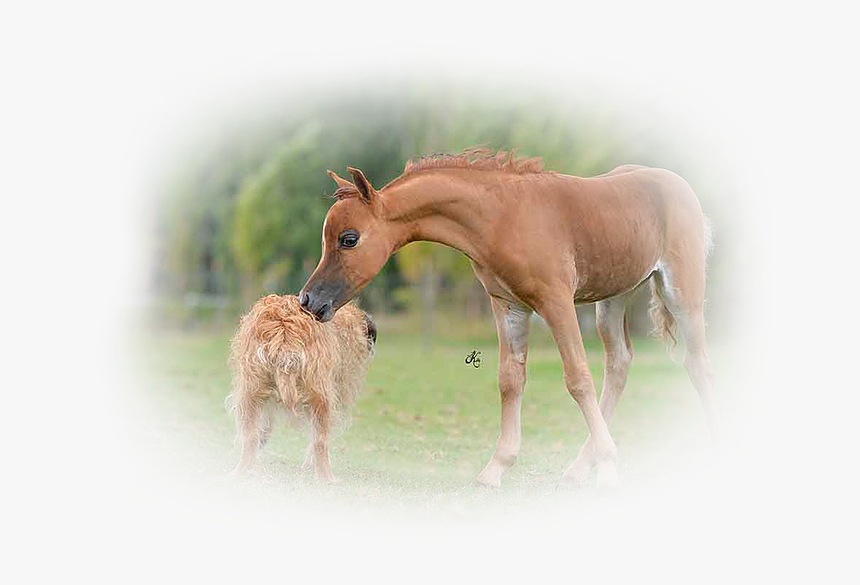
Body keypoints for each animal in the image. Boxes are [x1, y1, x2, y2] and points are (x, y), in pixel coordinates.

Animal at [299, 149, 715, 490]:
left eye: (349, 238)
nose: (309, 301)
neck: (502, 216)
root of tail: (678, 184)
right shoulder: (508, 305)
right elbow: (510, 380)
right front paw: (496, 468)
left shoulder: (557, 301)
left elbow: (578, 377)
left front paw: (611, 471)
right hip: (612, 299)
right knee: (620, 363)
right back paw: (580, 468)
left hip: (682, 290)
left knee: (696, 363)